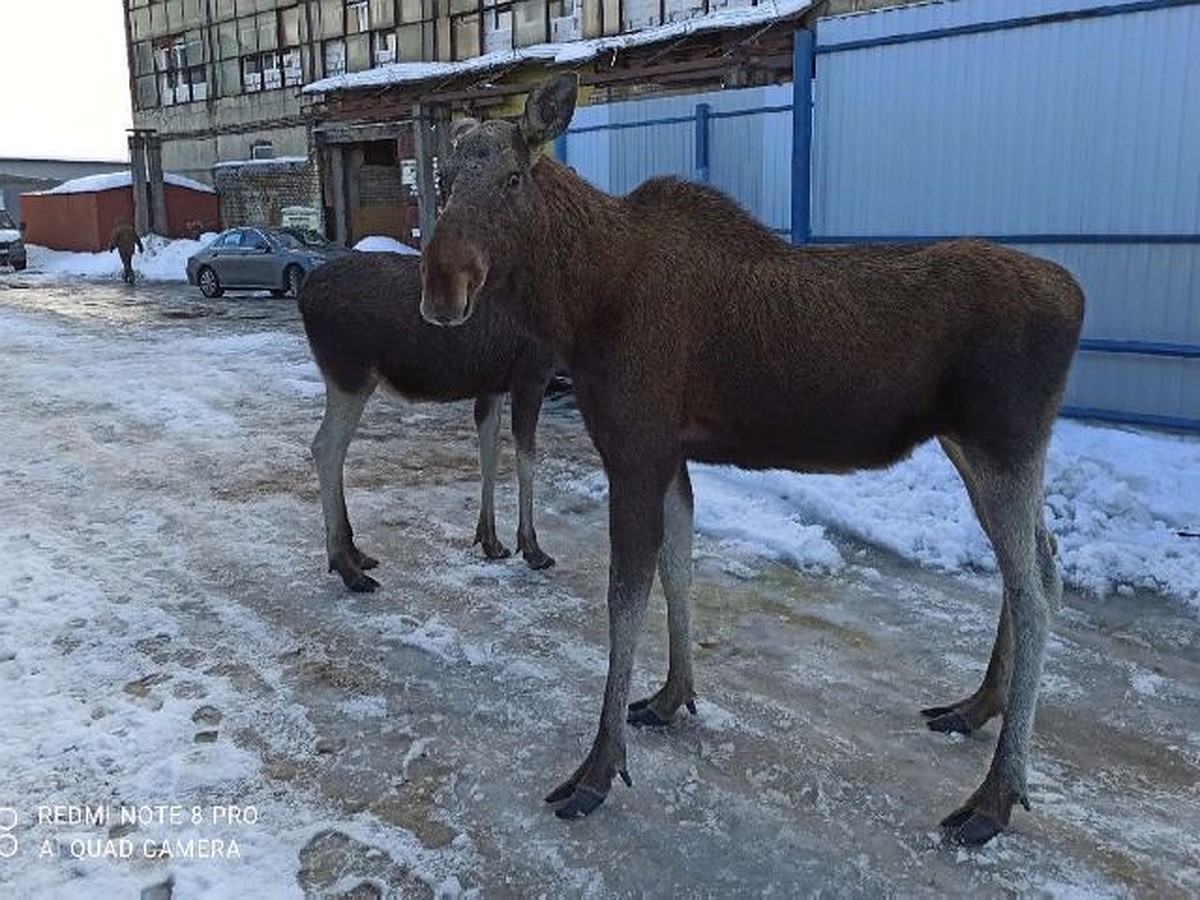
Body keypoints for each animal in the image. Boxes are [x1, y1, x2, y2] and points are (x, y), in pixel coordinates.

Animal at [302, 250, 559, 595]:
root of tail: (303, 293)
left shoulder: (492, 385)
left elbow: (489, 456)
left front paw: (490, 540)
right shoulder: (531, 375)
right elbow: (527, 461)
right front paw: (532, 548)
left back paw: (356, 555)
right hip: (350, 373)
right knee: (326, 447)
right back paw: (347, 567)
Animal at [420, 75, 1089, 844]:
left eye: (512, 177)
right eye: (445, 180)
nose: (441, 288)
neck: (583, 304)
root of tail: (1077, 298)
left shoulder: (636, 441)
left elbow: (626, 596)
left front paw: (598, 767)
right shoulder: (670, 450)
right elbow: (678, 569)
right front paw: (671, 696)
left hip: (1003, 440)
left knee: (1037, 590)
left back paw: (995, 794)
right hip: (972, 445)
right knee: (1037, 561)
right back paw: (977, 707)